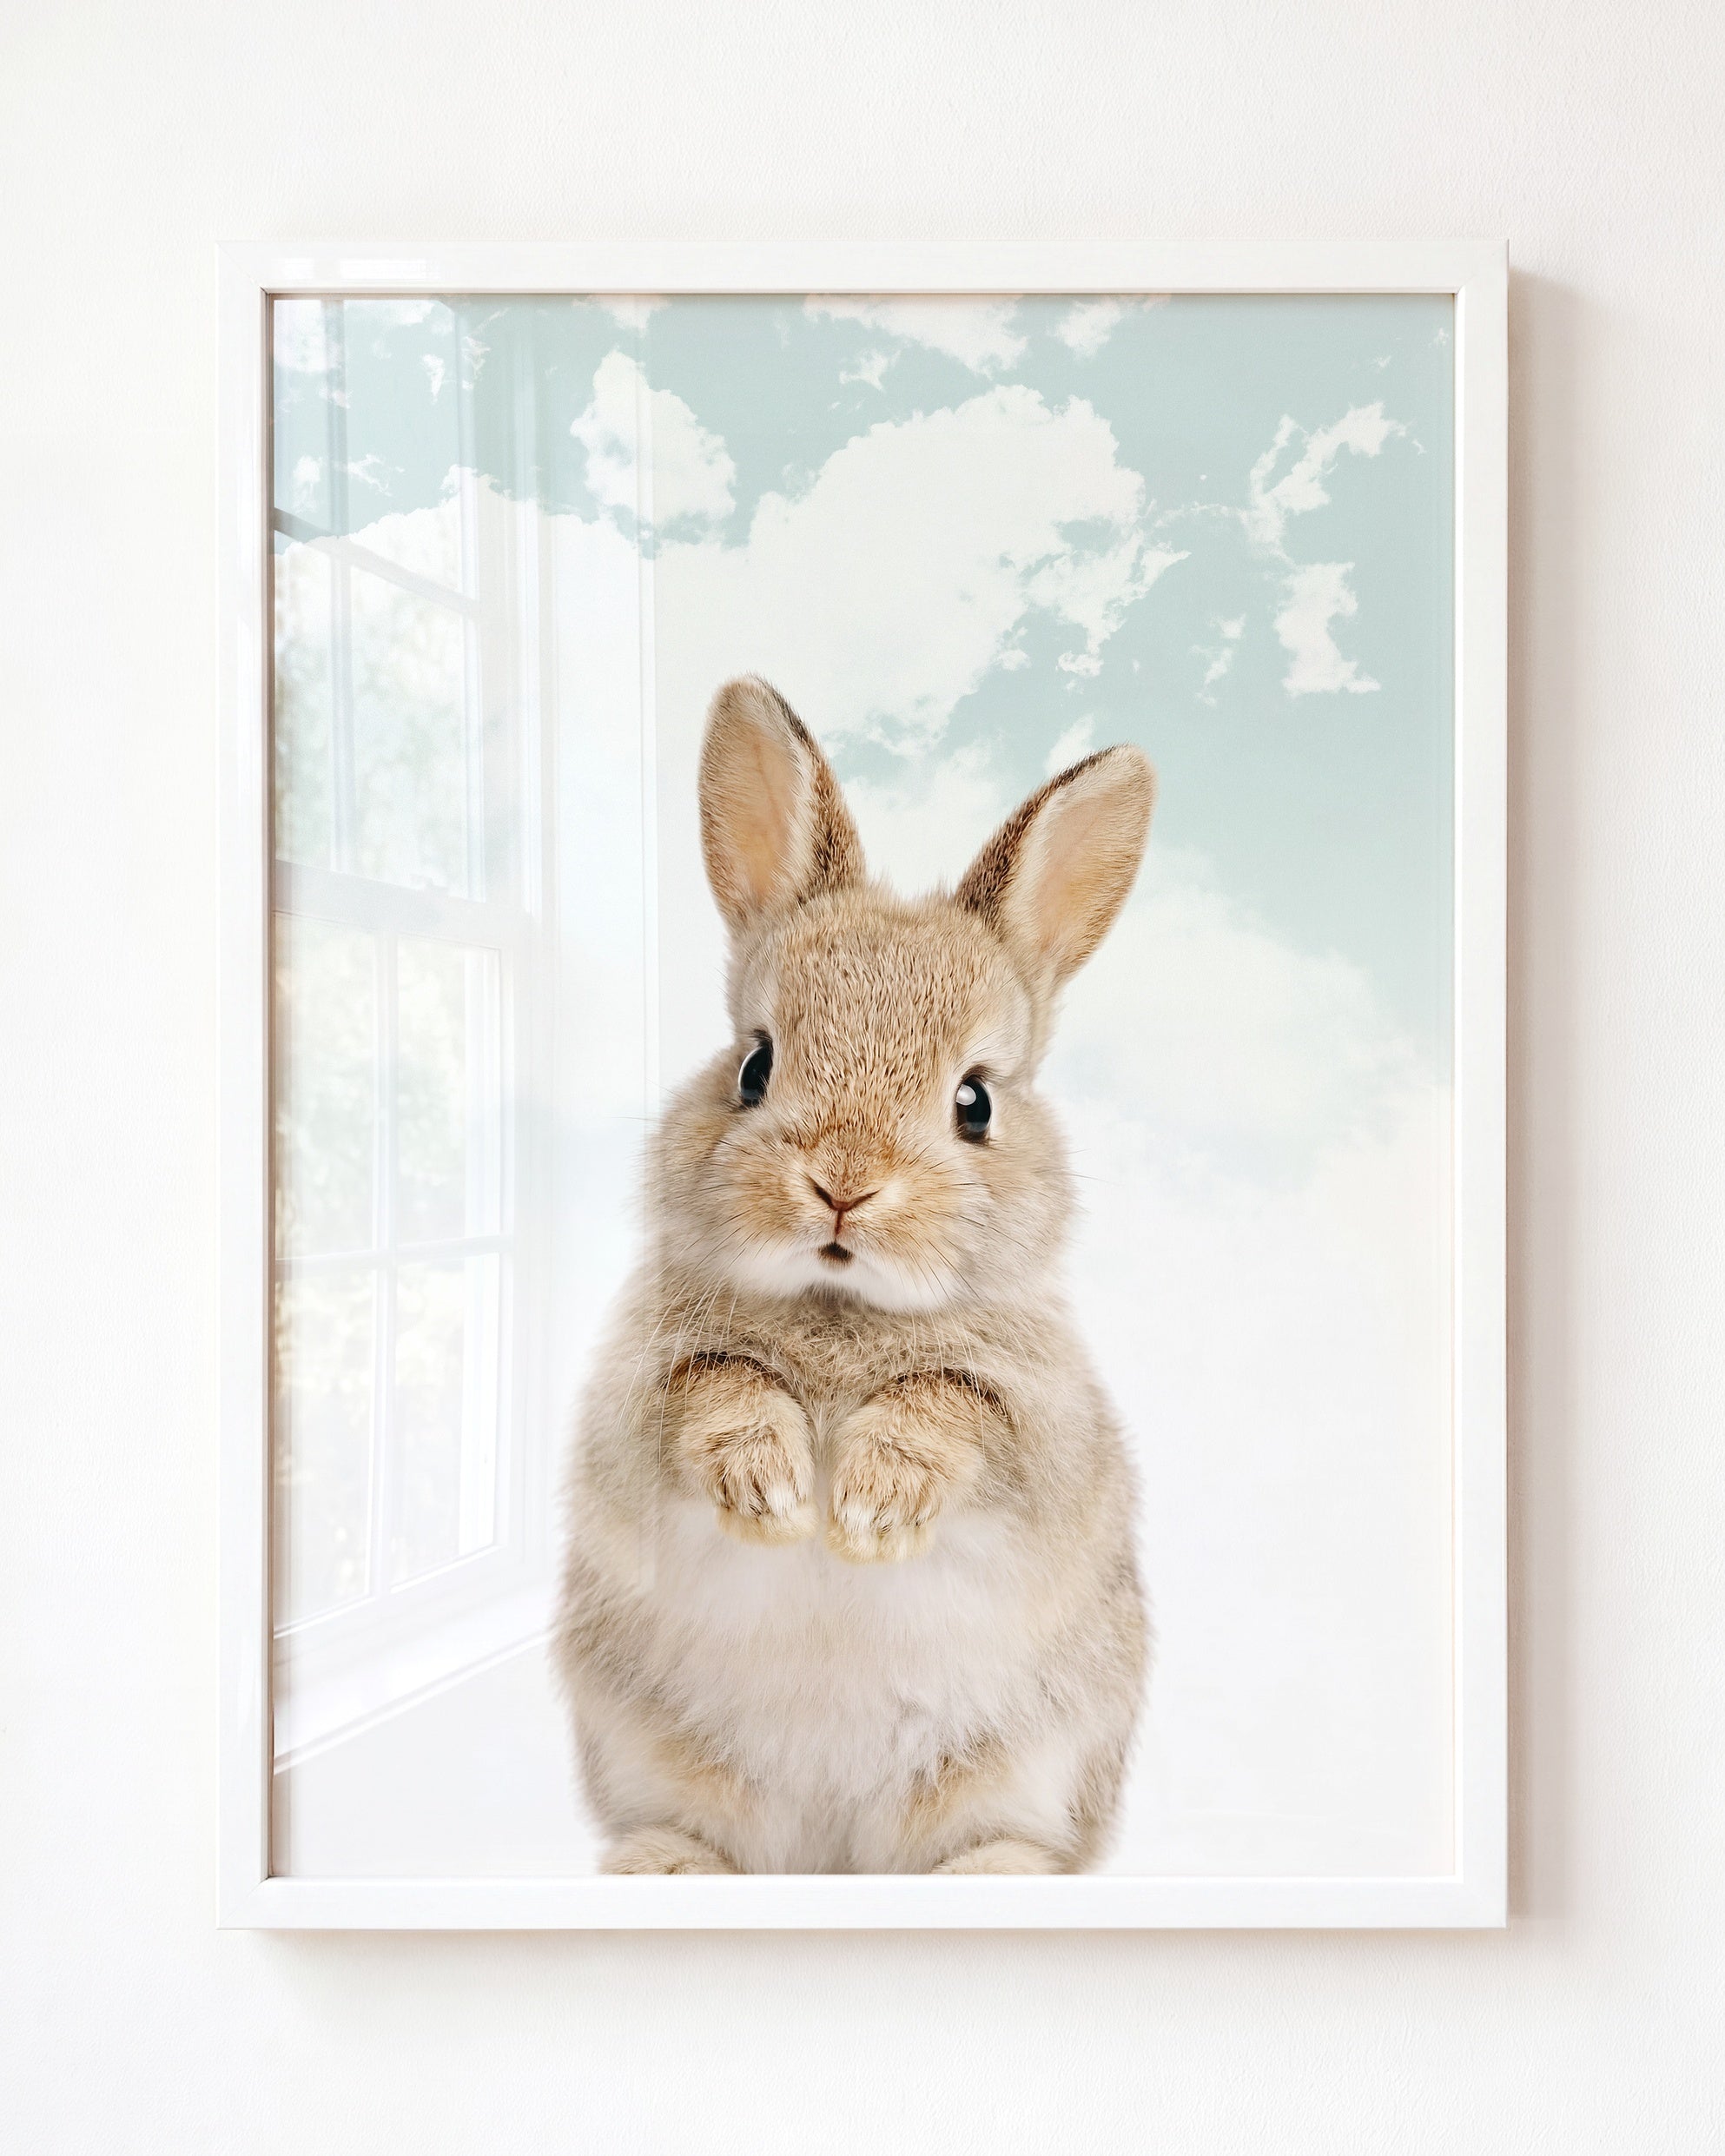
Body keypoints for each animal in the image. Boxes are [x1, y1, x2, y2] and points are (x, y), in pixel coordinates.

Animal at [553, 675, 1154, 1875]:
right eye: (754, 1064)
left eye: (975, 1100)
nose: (843, 1185)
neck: (842, 1308)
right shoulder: (639, 1398)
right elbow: (718, 1386)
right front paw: (777, 1493)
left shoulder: (1042, 1429)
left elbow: (949, 1407)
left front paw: (868, 1508)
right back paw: (665, 1868)